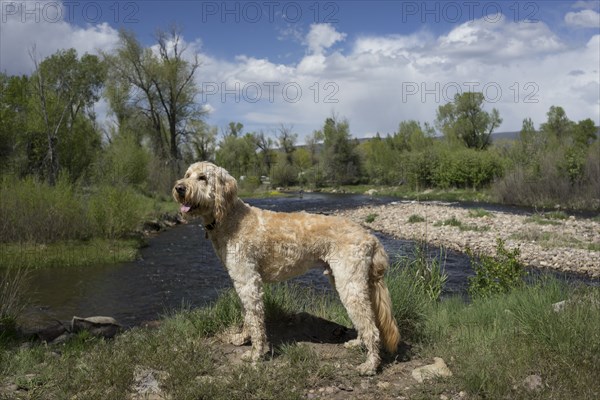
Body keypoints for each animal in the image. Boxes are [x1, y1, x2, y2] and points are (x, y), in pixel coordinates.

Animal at [172, 161, 398, 374]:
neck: (230, 217)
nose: (179, 188)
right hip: (345, 281)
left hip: (350, 284)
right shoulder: (242, 282)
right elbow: (247, 316)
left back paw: (370, 365)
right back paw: (358, 344)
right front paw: (243, 338)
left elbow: (255, 320)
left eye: (202, 178)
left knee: (371, 327)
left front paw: (256, 354)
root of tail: (370, 236)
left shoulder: (248, 281)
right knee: (364, 320)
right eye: (187, 175)